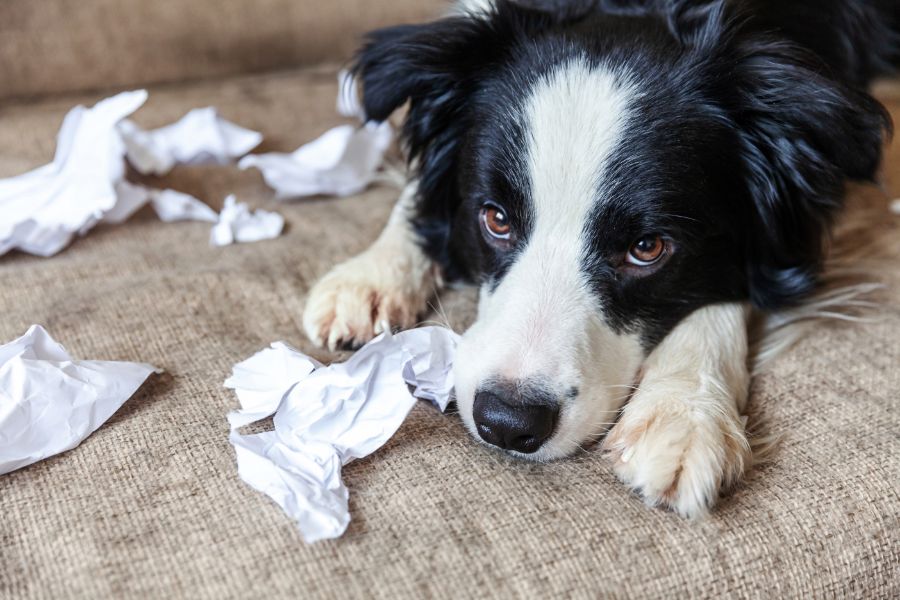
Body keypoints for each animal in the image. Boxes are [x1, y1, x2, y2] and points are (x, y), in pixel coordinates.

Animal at [304, 0, 900, 516]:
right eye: (495, 218)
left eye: (647, 248)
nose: (506, 422)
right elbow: (421, 193)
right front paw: (370, 277)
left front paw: (684, 417)